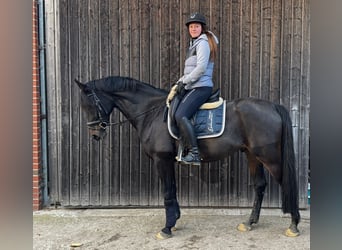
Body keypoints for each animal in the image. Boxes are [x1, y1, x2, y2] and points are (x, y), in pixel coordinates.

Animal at [75, 75, 300, 238]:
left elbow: (167, 193)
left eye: (89, 104)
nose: (95, 135)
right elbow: (173, 191)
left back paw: (294, 224)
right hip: (253, 156)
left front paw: (166, 228)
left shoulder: (161, 160)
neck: (150, 113)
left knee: (287, 184)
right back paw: (249, 222)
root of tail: (272, 106)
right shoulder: (168, 161)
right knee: (260, 186)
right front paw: (174, 221)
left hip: (270, 157)